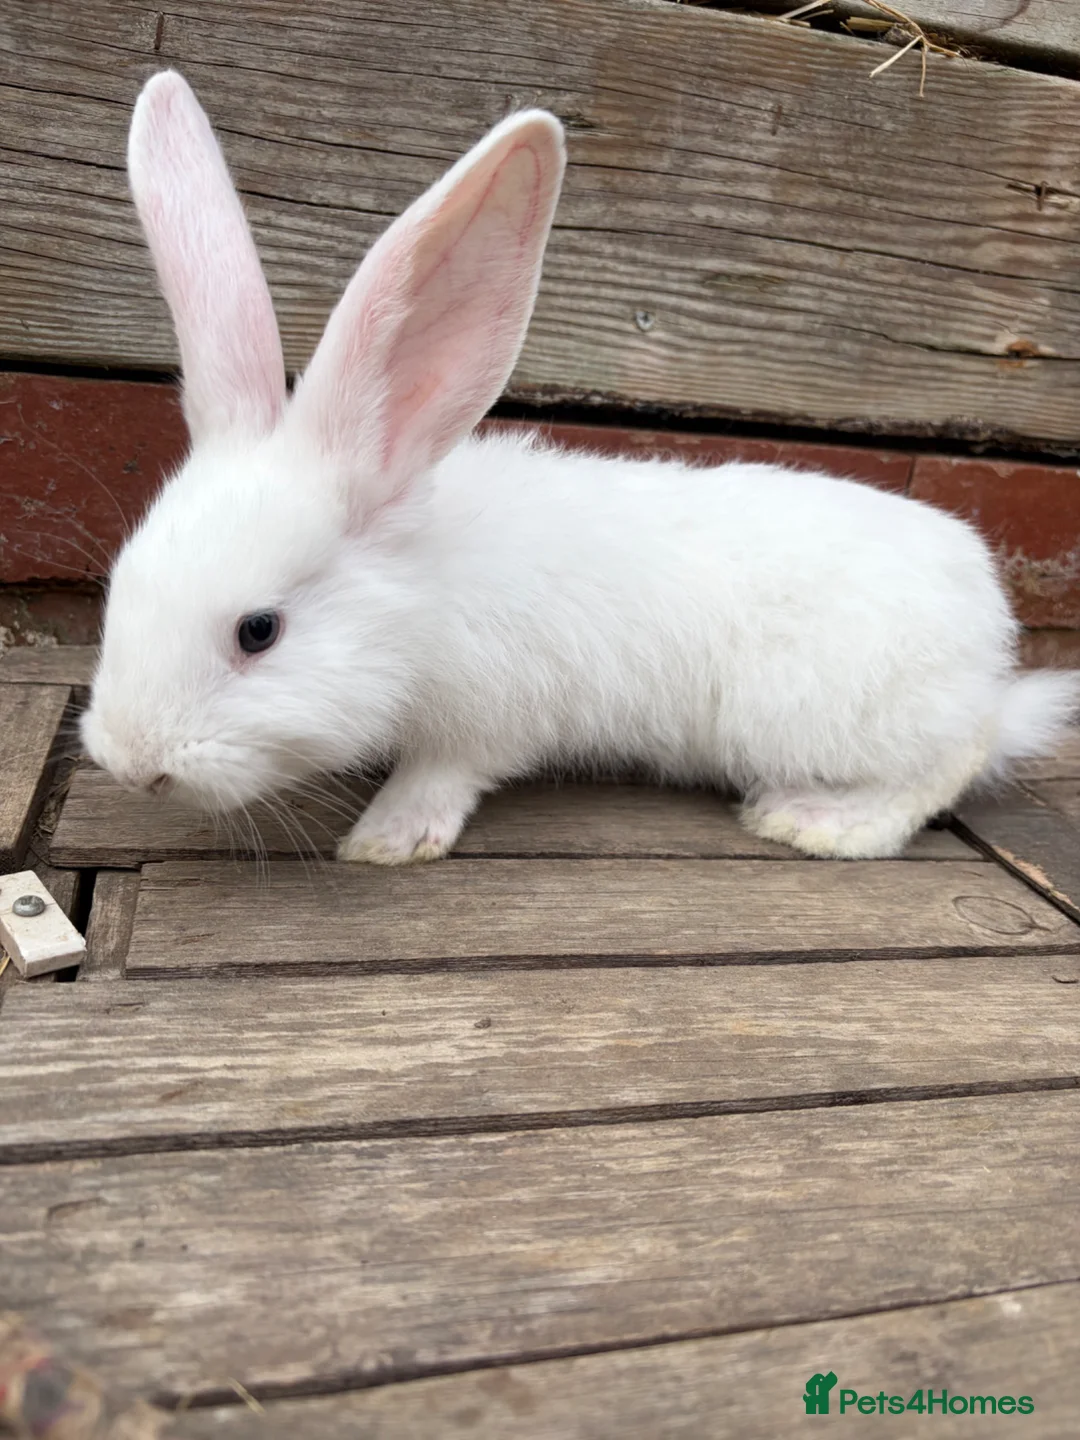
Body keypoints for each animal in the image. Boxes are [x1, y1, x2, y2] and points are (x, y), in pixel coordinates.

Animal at [81, 70, 1080, 863]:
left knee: (942, 769)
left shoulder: (489, 713)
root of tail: (985, 633)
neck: (418, 594)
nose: (130, 764)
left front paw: (388, 838)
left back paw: (816, 822)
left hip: (831, 715)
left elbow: (445, 774)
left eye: (259, 632)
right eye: (120, 590)